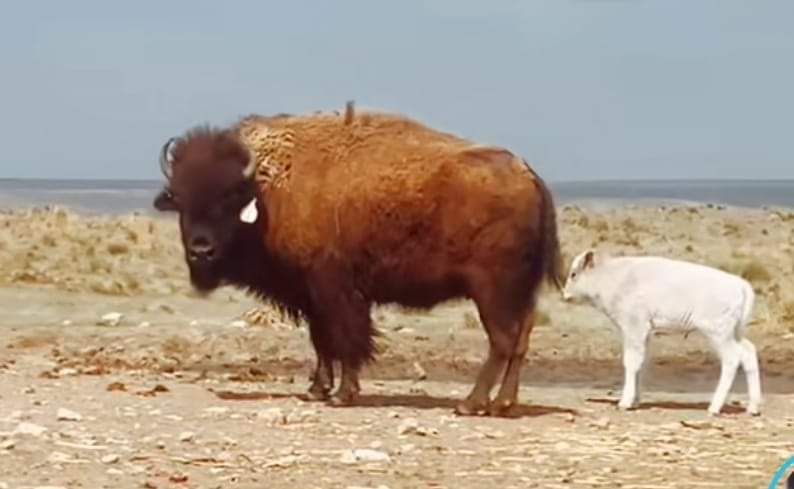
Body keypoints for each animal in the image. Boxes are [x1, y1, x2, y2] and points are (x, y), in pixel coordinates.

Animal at [153, 103, 564, 416]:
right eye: (180, 199)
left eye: (230, 196)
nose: (201, 250)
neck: (270, 189)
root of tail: (528, 174)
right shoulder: (310, 295)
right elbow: (321, 342)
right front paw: (317, 390)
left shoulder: (336, 291)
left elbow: (346, 339)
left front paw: (341, 395)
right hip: (520, 293)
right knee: (520, 340)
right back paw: (503, 404)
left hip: (491, 290)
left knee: (502, 341)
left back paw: (471, 404)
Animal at [560, 250, 756, 414]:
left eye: (574, 274)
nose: (565, 295)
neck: (613, 278)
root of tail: (741, 285)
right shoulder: (645, 332)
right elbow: (641, 363)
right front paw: (635, 401)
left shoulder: (634, 327)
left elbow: (631, 363)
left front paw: (625, 402)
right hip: (734, 333)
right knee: (748, 353)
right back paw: (753, 407)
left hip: (719, 333)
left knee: (732, 359)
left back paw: (715, 407)